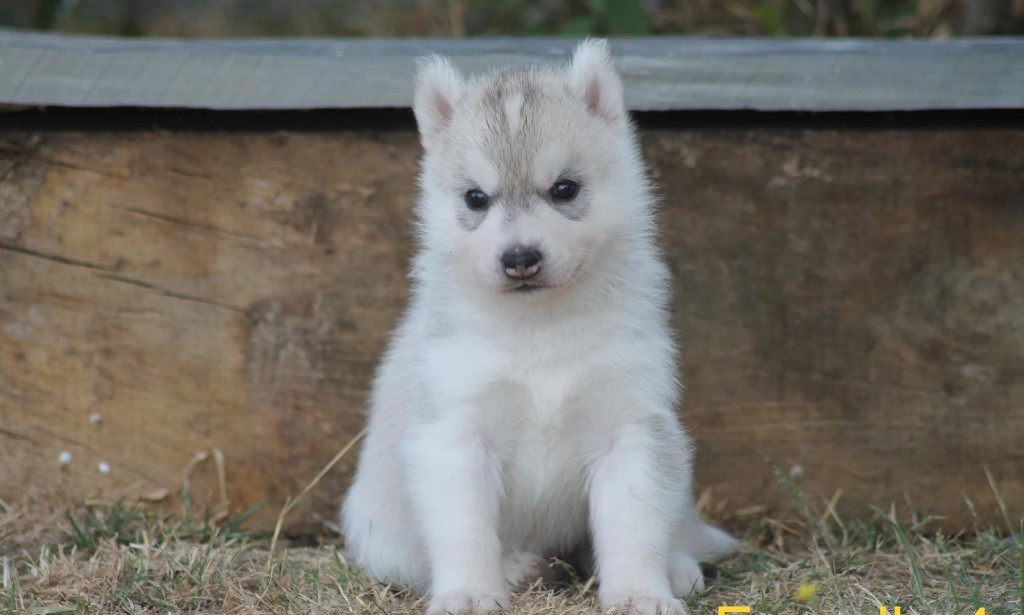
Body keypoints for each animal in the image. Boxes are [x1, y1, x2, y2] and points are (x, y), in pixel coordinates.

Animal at [344, 39, 737, 613]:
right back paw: (516, 567)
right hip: (378, 531)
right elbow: (465, 530)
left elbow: (634, 525)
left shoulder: (631, 428)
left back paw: (677, 565)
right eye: (475, 198)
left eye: (565, 189)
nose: (520, 259)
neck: (540, 329)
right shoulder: (455, 433)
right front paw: (469, 592)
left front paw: (639, 592)